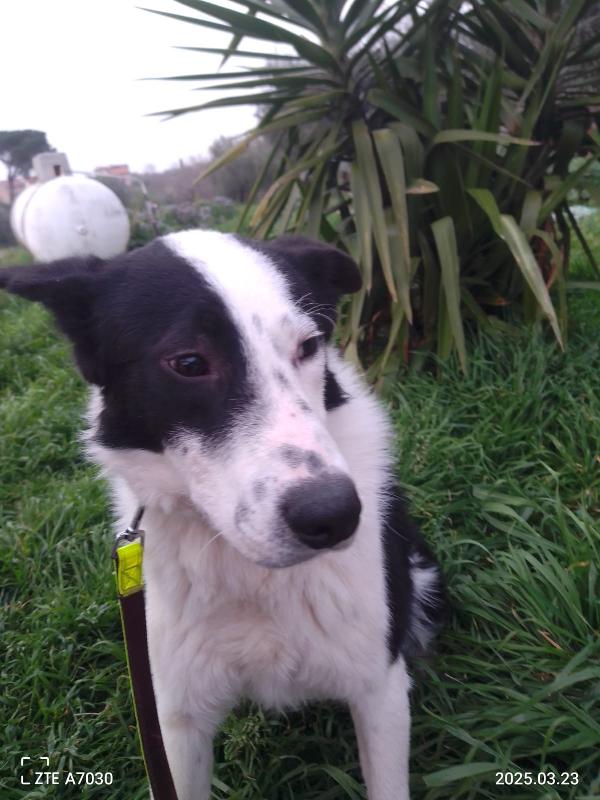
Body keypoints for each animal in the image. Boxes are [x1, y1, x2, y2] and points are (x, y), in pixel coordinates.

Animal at [1, 233, 446, 800]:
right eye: (189, 363)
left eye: (308, 346)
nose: (336, 516)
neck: (248, 570)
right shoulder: (174, 720)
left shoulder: (379, 689)